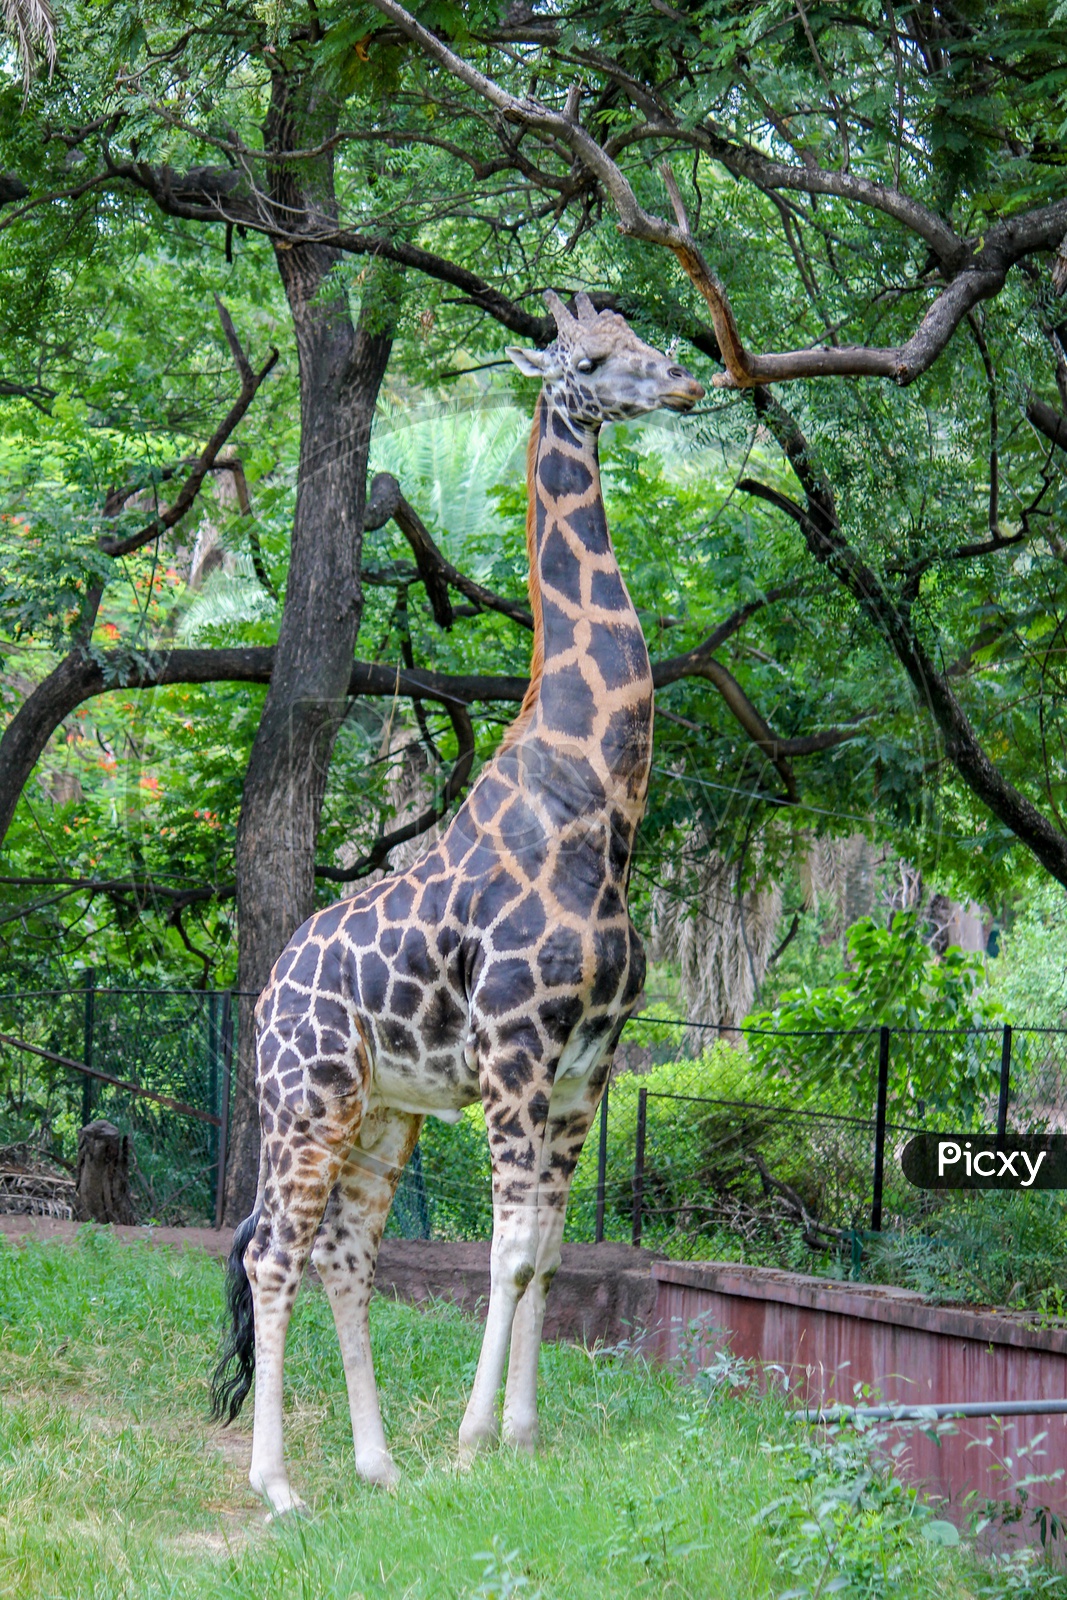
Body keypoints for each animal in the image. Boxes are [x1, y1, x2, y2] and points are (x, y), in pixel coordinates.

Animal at [211, 291, 704, 1515]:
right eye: (591, 361)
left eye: (636, 337)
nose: (685, 380)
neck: (598, 800)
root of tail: (267, 995)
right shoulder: (515, 1055)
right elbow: (508, 1252)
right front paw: (479, 1440)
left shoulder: (586, 1068)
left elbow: (551, 1252)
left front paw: (520, 1433)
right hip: (305, 1101)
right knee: (272, 1253)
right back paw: (280, 1488)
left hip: (380, 1111)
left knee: (343, 1254)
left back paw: (377, 1465)